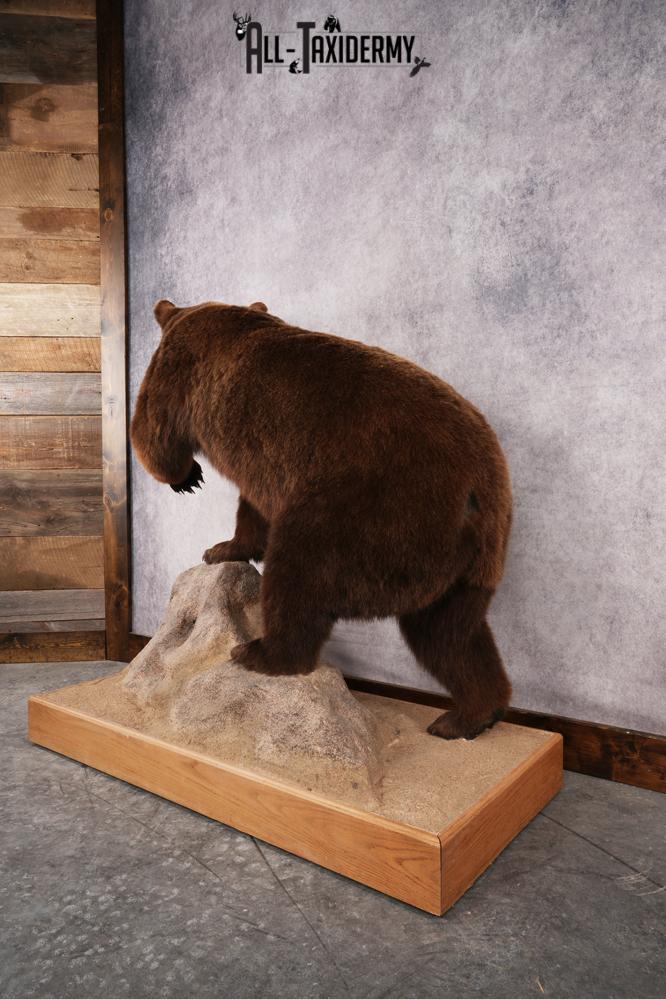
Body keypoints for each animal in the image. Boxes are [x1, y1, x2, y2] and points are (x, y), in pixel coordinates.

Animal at [131, 299, 513, 740]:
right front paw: (224, 547)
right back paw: (467, 716)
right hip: (470, 566)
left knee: (299, 570)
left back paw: (261, 652)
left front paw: (187, 483)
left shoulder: (180, 370)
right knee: (450, 635)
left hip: (366, 513)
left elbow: (154, 426)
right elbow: (252, 509)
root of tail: (473, 491)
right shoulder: (266, 469)